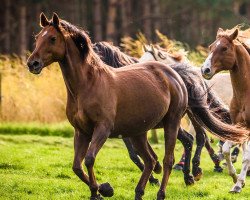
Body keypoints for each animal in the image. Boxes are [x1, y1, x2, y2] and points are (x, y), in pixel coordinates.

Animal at [200, 27, 250, 194]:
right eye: (210, 47)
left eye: (224, 48)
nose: (205, 70)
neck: (245, 94)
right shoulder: (240, 127)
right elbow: (228, 150)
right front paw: (237, 182)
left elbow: (245, 156)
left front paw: (239, 182)